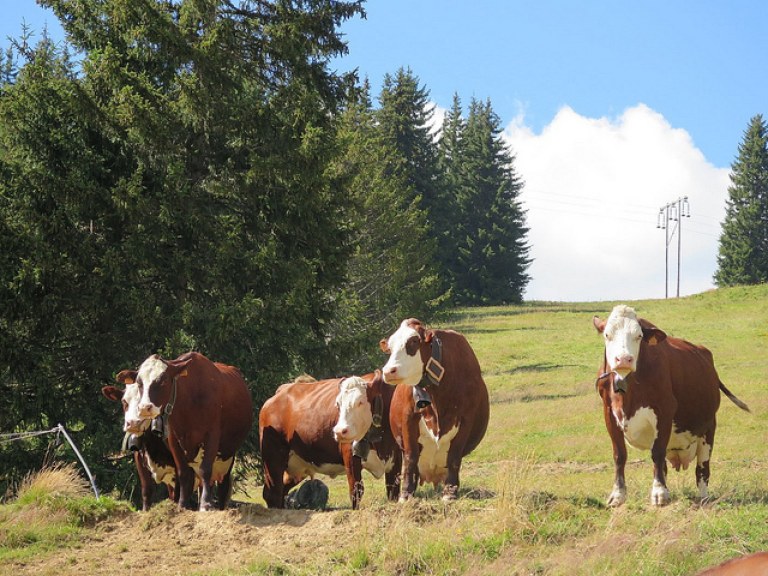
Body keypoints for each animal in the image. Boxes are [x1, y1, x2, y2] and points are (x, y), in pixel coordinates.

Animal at [136, 354, 255, 510]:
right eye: (139, 383)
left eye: (163, 380)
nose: (144, 407)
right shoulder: (174, 440)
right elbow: (183, 473)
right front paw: (182, 504)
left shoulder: (211, 436)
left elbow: (206, 470)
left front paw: (205, 504)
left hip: (227, 456)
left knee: (222, 485)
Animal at [260, 372, 400, 506]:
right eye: (338, 404)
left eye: (360, 402)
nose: (339, 431)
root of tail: (282, 390)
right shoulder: (350, 458)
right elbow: (356, 493)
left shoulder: (396, 463)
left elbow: (393, 493)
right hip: (273, 459)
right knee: (273, 494)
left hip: (295, 466)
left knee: (281, 491)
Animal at [380, 318, 488, 502]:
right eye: (390, 347)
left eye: (413, 341)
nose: (389, 371)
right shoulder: (408, 418)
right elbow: (410, 457)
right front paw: (406, 494)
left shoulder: (466, 419)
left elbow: (454, 457)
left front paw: (450, 492)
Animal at [592, 304, 752, 506]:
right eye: (607, 334)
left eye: (639, 336)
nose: (624, 359)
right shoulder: (609, 413)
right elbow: (620, 455)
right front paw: (618, 494)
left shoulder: (664, 411)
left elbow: (657, 453)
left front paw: (659, 493)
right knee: (664, 467)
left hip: (708, 428)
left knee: (702, 468)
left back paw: (703, 497)